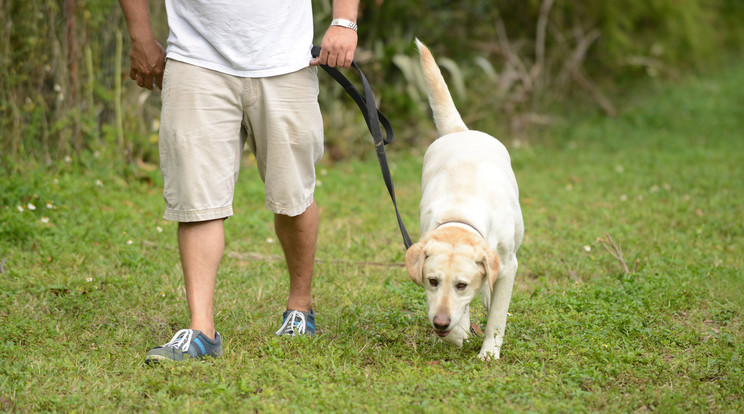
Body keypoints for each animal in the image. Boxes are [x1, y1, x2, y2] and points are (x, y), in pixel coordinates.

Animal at [406, 40, 524, 360]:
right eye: (432, 281)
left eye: (461, 284)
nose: (440, 322)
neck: (461, 215)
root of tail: (462, 131)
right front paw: (457, 333)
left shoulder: (508, 265)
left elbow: (497, 315)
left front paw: (489, 352)